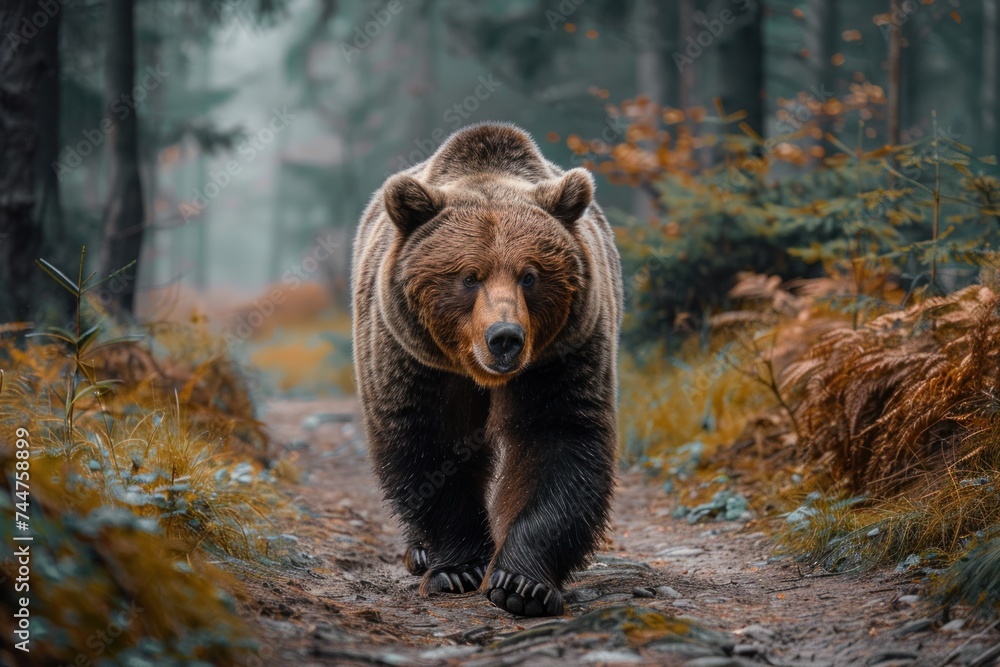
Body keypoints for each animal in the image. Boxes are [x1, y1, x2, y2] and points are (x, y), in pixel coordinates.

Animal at [351, 122, 623, 617]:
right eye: (469, 276)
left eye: (530, 275)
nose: (505, 337)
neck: (478, 372)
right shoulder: (417, 362)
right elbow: (429, 446)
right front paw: (458, 569)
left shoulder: (561, 357)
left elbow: (558, 440)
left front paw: (521, 584)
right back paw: (420, 553)